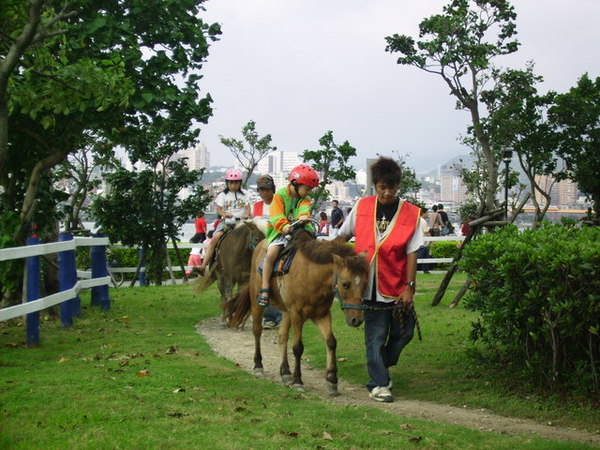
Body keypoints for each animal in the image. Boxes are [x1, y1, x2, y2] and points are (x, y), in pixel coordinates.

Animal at [225, 227, 368, 396]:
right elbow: (298, 348)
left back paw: (285, 372)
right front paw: (298, 380)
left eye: (365, 284)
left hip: (286, 312)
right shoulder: (297, 315)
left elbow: (331, 342)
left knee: (282, 336)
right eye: (345, 284)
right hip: (257, 304)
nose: (356, 320)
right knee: (257, 331)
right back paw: (258, 365)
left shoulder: (322, 315)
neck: (310, 276)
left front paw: (332, 380)